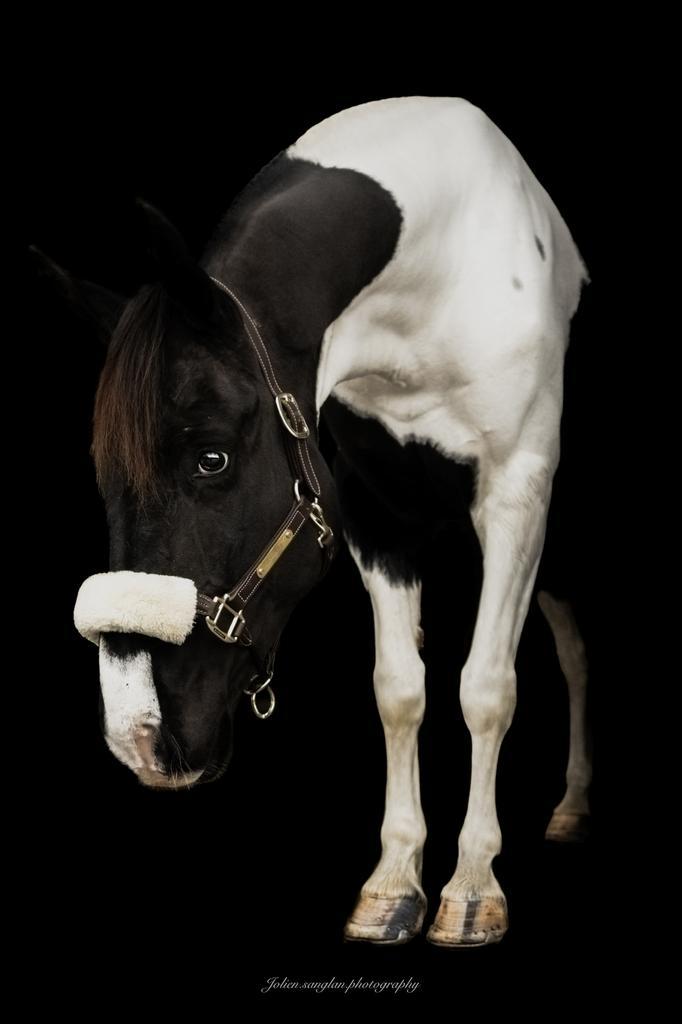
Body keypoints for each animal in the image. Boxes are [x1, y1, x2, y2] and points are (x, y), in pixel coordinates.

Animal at [51, 96, 591, 948]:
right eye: (103, 476)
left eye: (211, 458)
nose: (139, 736)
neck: (445, 273)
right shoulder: (374, 514)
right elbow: (399, 689)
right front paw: (393, 887)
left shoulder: (515, 497)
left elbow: (486, 687)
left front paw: (473, 891)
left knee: (571, 648)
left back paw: (573, 805)